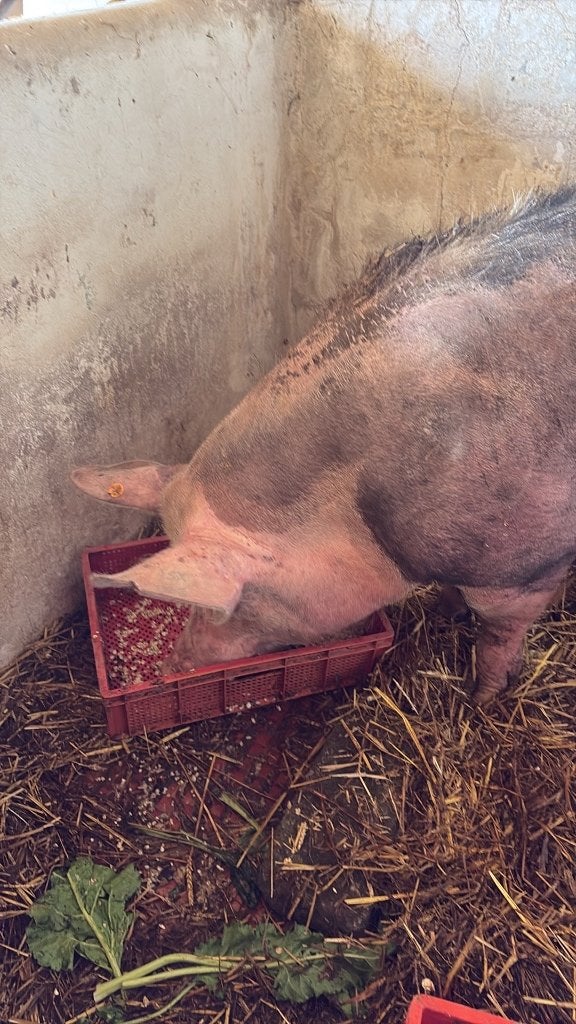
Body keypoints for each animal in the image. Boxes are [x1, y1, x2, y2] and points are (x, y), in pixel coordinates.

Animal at [72, 186, 576, 703]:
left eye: (233, 604)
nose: (174, 664)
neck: (359, 500)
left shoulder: (520, 559)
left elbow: (498, 627)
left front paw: (482, 698)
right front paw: (445, 612)